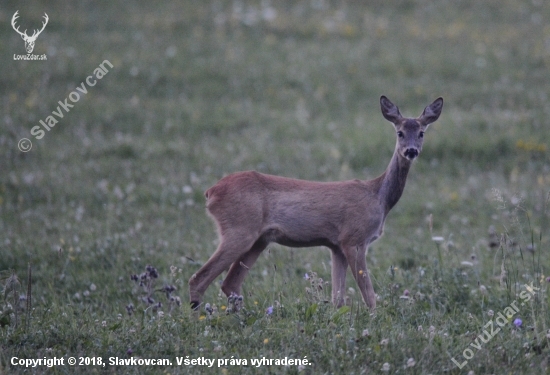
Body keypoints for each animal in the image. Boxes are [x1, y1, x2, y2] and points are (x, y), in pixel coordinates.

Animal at [190, 96, 444, 312]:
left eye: (421, 132)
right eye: (399, 132)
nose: (411, 151)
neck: (379, 198)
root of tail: (211, 192)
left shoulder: (336, 246)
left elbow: (338, 299)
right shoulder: (354, 238)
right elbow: (369, 295)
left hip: (258, 240)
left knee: (230, 284)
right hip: (239, 230)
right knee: (198, 279)